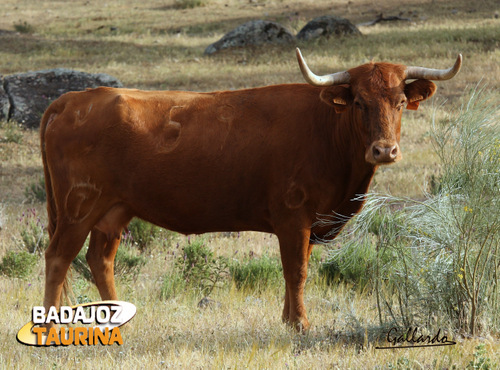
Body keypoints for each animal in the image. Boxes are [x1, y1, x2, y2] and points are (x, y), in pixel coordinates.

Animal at [39, 48, 460, 330]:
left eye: (401, 101)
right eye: (358, 102)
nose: (384, 150)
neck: (325, 128)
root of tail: (72, 99)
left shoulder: (306, 223)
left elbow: (295, 271)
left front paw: (288, 319)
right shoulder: (293, 216)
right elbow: (297, 270)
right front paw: (300, 324)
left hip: (113, 211)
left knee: (100, 260)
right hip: (79, 207)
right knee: (59, 258)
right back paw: (49, 324)